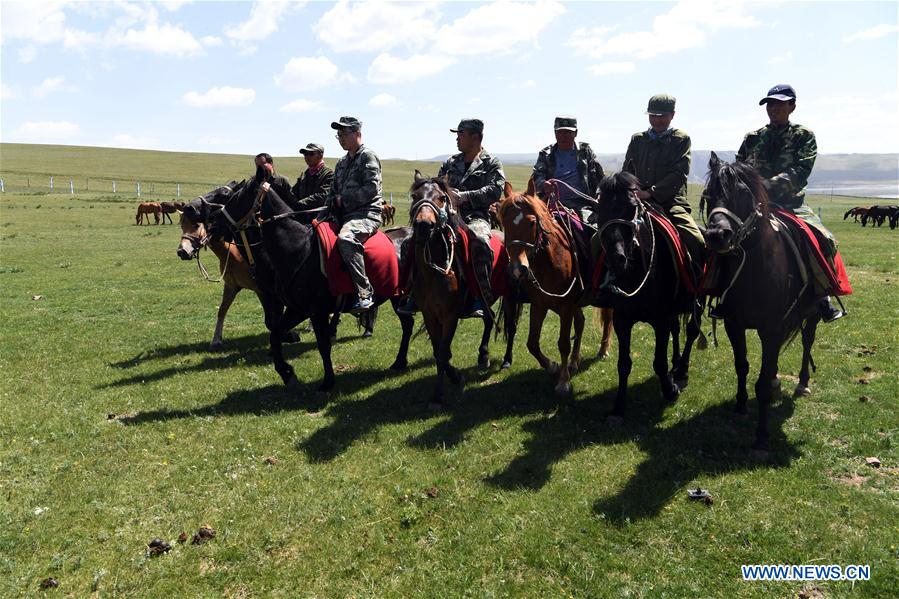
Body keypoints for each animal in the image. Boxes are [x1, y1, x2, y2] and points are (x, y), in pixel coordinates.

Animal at [208, 178, 414, 394]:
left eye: (237, 197)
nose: (213, 223)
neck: (299, 249)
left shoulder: (316, 312)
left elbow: (323, 345)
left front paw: (327, 382)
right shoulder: (296, 309)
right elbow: (275, 335)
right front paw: (287, 373)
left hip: (400, 297)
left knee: (408, 324)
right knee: (407, 324)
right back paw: (399, 362)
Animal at [496, 177, 616, 398]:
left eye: (532, 222)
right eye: (504, 223)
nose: (517, 269)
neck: (548, 262)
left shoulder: (566, 307)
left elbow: (563, 343)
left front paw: (563, 382)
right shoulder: (539, 305)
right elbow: (532, 343)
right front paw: (553, 367)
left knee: (607, 318)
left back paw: (603, 350)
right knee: (581, 322)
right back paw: (574, 361)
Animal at [596, 171, 708, 420]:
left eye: (631, 207)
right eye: (600, 207)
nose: (616, 258)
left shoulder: (660, 320)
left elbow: (659, 362)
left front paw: (670, 390)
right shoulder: (622, 320)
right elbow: (624, 363)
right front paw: (619, 407)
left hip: (698, 302)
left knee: (692, 331)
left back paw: (682, 369)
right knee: (677, 330)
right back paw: (676, 363)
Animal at [708, 152, 828, 452]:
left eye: (742, 192)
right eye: (708, 194)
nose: (717, 236)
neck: (754, 267)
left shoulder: (771, 329)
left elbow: (760, 384)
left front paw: (761, 437)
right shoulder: (734, 324)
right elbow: (742, 366)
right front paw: (740, 406)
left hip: (812, 315)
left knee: (807, 341)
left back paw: (802, 383)